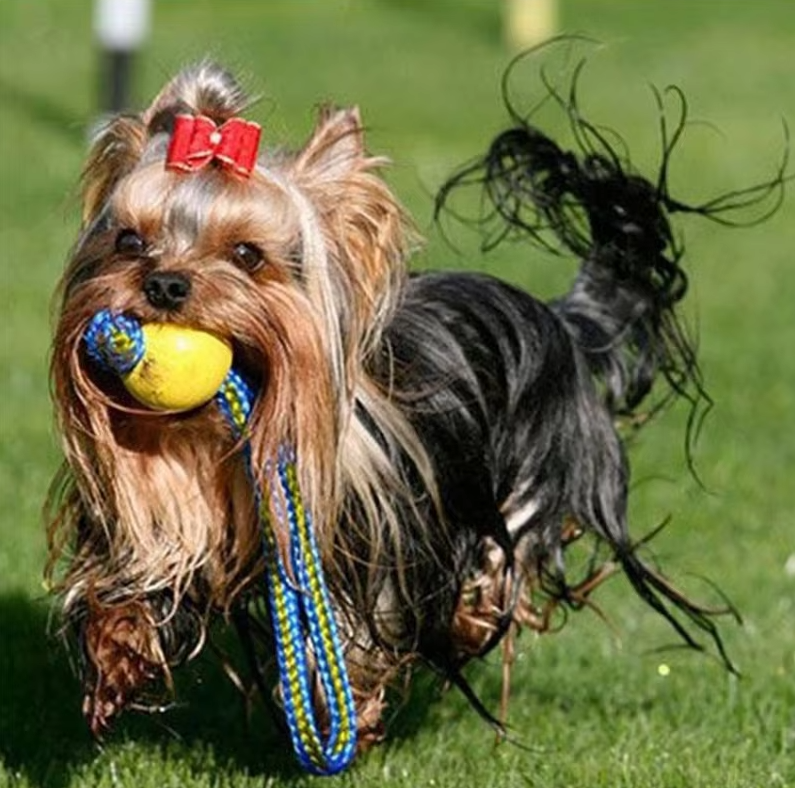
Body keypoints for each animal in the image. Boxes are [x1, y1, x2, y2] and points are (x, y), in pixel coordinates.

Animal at [45, 60, 776, 768]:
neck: (215, 433)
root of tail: (559, 318)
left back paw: (472, 613)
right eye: (129, 241)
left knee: (507, 552)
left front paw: (352, 702)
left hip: (538, 471)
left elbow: (365, 624)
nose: (165, 285)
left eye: (247, 255)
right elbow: (135, 571)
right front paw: (118, 648)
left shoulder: (386, 531)